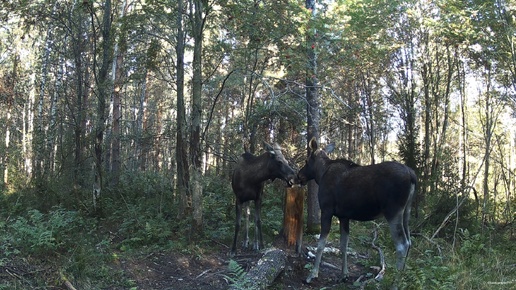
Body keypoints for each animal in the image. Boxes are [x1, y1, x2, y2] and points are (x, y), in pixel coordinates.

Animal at [298, 138, 416, 284]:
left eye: (306, 161)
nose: (298, 175)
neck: (320, 174)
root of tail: (412, 175)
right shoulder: (343, 216)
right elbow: (344, 245)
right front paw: (344, 274)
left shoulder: (326, 210)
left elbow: (321, 245)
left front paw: (312, 274)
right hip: (407, 211)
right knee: (409, 242)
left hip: (393, 211)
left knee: (402, 245)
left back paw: (395, 282)